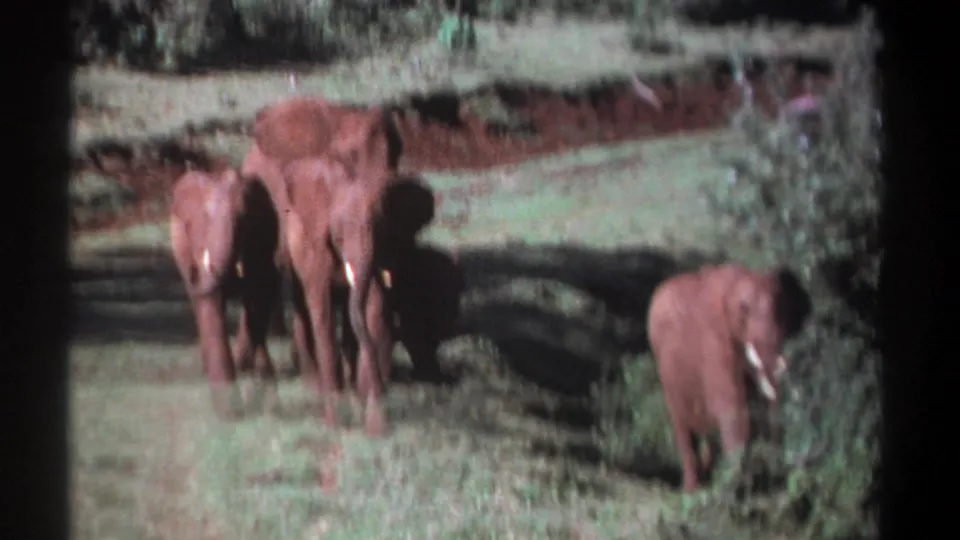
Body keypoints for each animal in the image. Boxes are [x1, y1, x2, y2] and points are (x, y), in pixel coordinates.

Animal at [168, 168, 283, 418]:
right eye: (204, 219)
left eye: (244, 219)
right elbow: (211, 303)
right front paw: (232, 411)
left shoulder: (262, 241)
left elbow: (260, 295)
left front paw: (264, 402)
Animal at [646, 263, 811, 492]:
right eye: (744, 310)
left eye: (782, 310)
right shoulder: (715, 341)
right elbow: (731, 409)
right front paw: (740, 486)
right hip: (665, 370)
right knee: (683, 430)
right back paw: (692, 491)